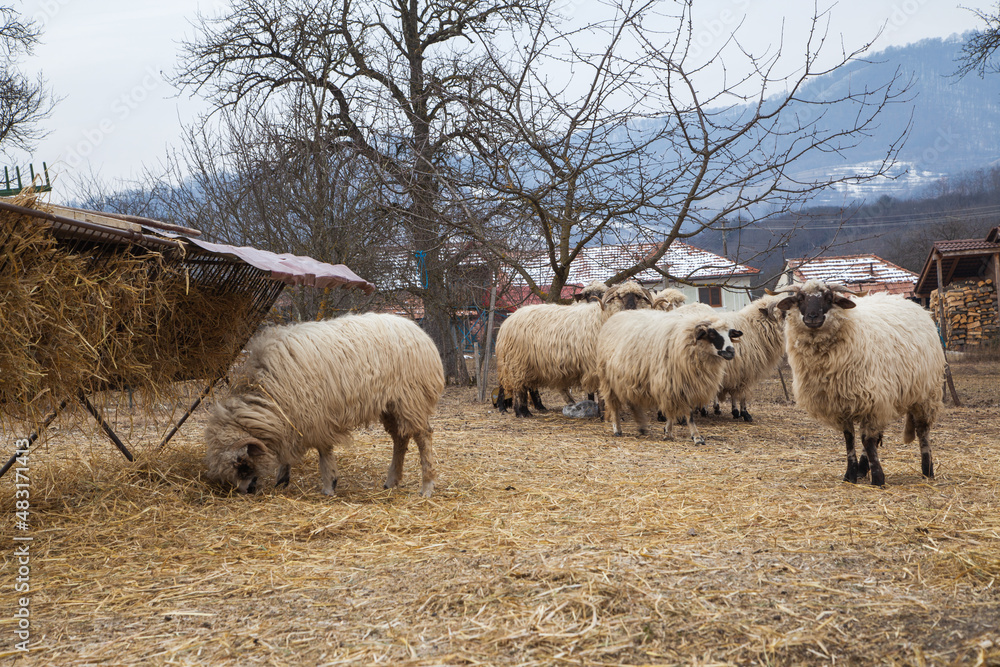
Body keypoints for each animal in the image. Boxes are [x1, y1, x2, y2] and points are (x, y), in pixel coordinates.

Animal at [204, 313, 445, 497]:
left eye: (242, 463)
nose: (246, 491)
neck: (268, 396)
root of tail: (416, 329)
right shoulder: (292, 416)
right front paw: (282, 478)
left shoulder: (316, 414)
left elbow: (324, 452)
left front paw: (329, 485)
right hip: (391, 405)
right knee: (400, 438)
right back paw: (392, 480)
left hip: (411, 399)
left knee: (423, 437)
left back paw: (427, 486)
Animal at [496, 280, 653, 417]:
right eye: (619, 296)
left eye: (638, 296)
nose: (631, 307)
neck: (602, 316)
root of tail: (508, 321)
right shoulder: (595, 364)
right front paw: (603, 415)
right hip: (516, 362)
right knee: (517, 388)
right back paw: (520, 412)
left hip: (529, 364)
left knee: (527, 386)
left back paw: (533, 408)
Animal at [597, 309, 742, 443]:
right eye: (712, 333)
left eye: (730, 334)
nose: (731, 351)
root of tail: (615, 315)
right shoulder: (675, 384)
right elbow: (688, 414)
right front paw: (696, 437)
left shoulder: (678, 385)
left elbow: (672, 412)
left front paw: (668, 432)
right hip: (608, 380)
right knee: (614, 406)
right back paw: (617, 429)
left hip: (631, 378)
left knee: (633, 403)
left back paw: (642, 426)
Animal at [775, 279, 945, 486]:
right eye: (800, 298)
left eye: (828, 298)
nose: (812, 317)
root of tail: (918, 307)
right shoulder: (843, 404)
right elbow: (850, 439)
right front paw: (850, 474)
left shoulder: (872, 400)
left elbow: (867, 440)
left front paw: (878, 478)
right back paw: (863, 469)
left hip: (925, 393)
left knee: (922, 431)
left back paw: (927, 470)